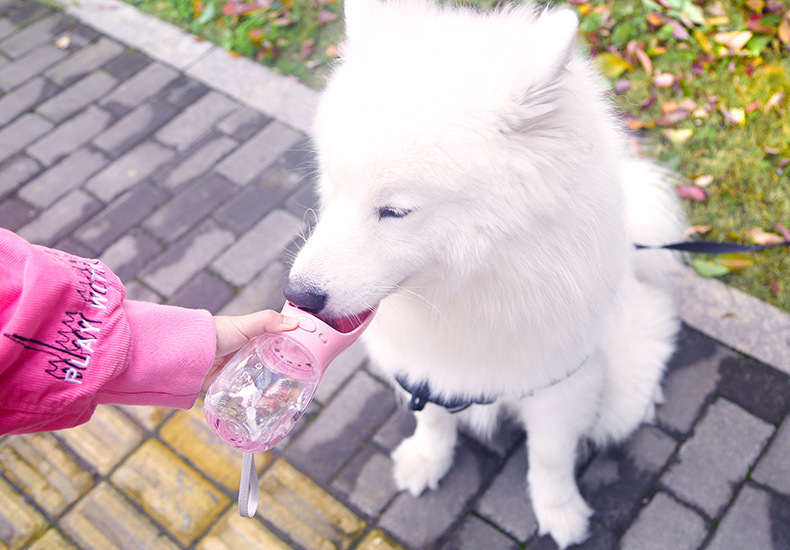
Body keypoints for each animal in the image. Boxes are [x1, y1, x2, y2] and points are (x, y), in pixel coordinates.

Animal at [284, 0, 685, 546]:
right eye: (333, 184)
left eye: (395, 211)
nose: (298, 295)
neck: (476, 285)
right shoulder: (424, 368)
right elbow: (434, 423)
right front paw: (428, 460)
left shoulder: (563, 384)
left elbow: (550, 457)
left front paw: (560, 510)